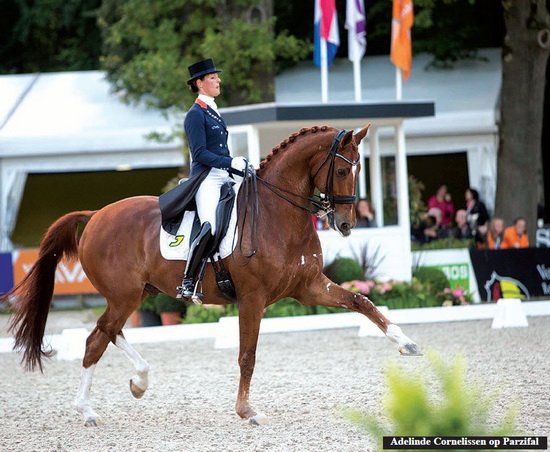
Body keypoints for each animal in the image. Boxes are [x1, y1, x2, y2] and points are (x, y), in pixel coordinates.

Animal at [4, 124, 422, 428]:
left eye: (360, 169)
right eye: (342, 169)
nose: (347, 224)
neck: (279, 214)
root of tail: (95, 215)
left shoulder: (308, 288)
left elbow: (361, 300)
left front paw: (407, 343)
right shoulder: (253, 298)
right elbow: (247, 355)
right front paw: (247, 411)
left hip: (136, 294)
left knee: (108, 332)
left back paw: (139, 382)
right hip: (124, 295)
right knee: (97, 339)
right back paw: (90, 410)